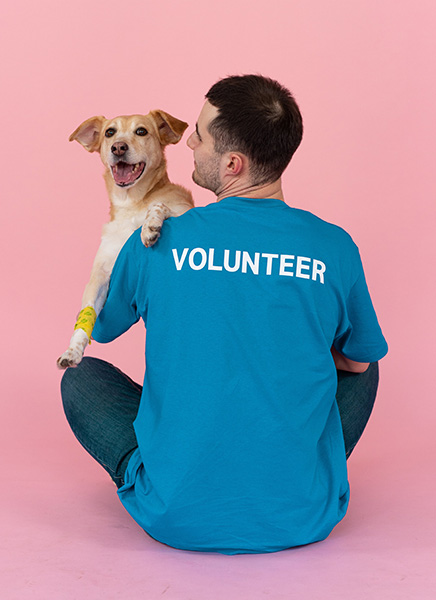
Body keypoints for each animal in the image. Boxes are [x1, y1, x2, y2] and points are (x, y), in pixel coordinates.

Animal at [57, 110, 193, 368]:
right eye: (110, 132)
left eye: (141, 131)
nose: (118, 147)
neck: (131, 203)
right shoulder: (100, 276)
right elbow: (87, 312)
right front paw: (72, 351)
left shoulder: (185, 208)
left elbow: (160, 205)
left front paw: (150, 225)